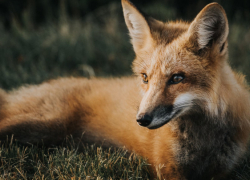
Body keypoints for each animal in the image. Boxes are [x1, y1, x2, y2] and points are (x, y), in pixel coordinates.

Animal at [0, 0, 250, 179]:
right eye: (145, 77)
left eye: (177, 78)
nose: (141, 119)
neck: (203, 142)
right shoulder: (167, 169)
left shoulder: (223, 171)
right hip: (42, 124)